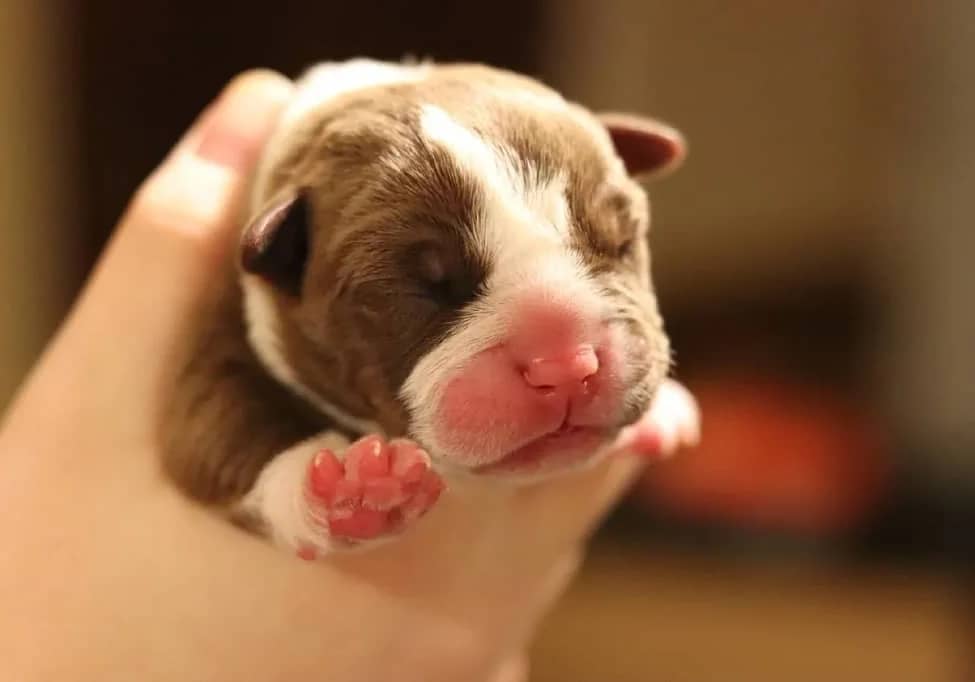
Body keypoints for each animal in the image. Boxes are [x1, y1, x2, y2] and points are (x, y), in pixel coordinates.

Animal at [162, 58, 688, 556]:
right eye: (426, 289)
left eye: (620, 242)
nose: (563, 367)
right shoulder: (219, 332)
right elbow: (218, 424)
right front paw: (350, 495)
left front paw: (666, 411)